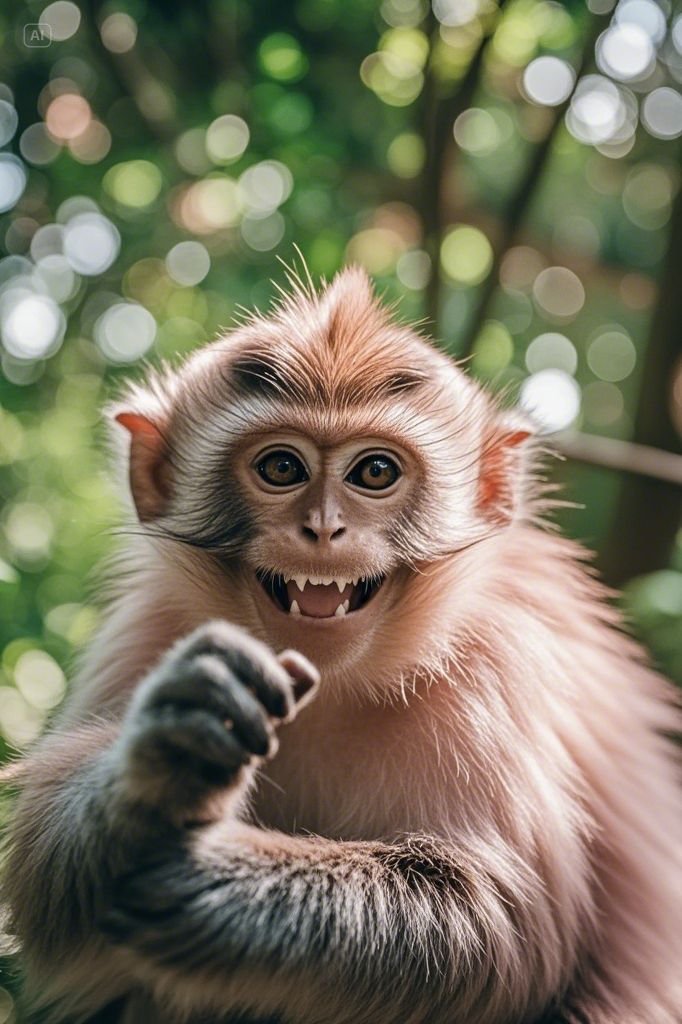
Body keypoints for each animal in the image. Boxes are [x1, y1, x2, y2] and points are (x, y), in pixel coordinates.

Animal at [2, 265, 681, 1024]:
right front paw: (160, 766)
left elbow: (504, 929)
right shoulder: (151, 629)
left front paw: (220, 886)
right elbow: (52, 907)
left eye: (375, 473)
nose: (324, 528)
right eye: (281, 467)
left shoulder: (495, 667)